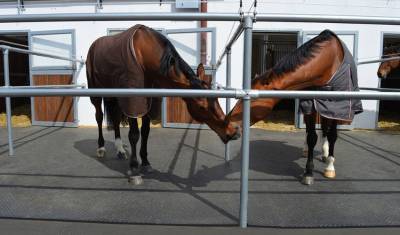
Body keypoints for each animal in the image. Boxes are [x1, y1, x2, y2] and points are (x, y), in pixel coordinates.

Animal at [86, 24, 241, 179]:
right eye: (201, 106)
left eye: (217, 100)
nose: (232, 132)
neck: (143, 53)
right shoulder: (133, 102)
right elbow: (134, 134)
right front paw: (134, 166)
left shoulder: (148, 101)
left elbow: (145, 132)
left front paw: (146, 162)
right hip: (96, 95)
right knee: (99, 117)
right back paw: (101, 148)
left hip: (114, 96)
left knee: (116, 119)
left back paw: (120, 150)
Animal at [225, 29, 362, 185]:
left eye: (252, 99)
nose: (228, 124)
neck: (329, 61)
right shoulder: (310, 104)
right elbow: (312, 137)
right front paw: (308, 172)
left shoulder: (338, 107)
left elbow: (332, 135)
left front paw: (330, 167)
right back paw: (310, 150)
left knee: (326, 129)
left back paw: (326, 154)